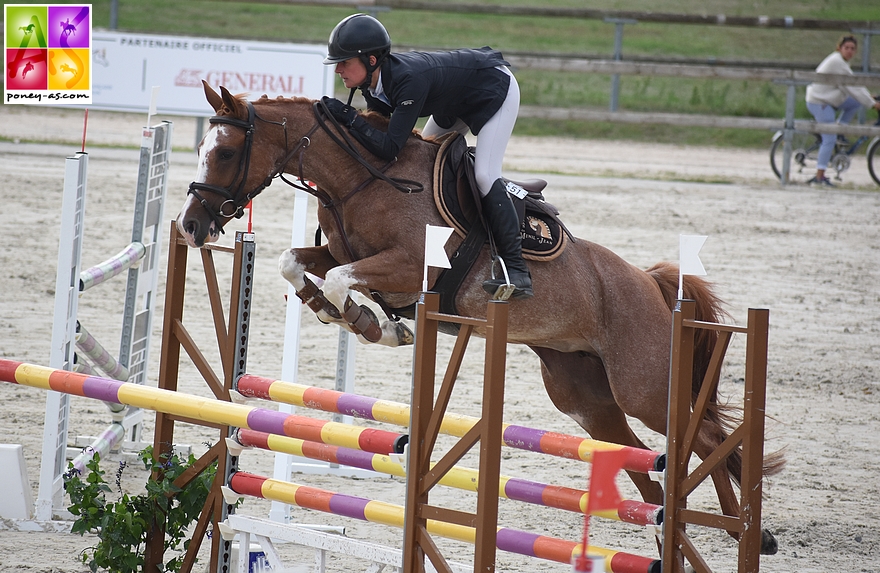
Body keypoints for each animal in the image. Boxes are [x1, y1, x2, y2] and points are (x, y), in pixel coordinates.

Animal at [177, 82, 776, 552]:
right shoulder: (343, 255)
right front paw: (346, 315)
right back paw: (668, 529)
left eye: (225, 152)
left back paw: (745, 530)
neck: (362, 179)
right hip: (584, 397)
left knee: (705, 437)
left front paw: (374, 324)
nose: (189, 226)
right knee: (639, 457)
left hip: (645, 386)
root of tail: (651, 284)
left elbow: (346, 278)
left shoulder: (407, 266)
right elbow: (294, 263)